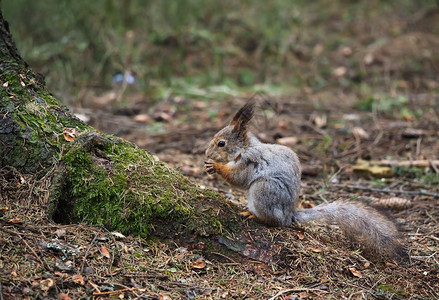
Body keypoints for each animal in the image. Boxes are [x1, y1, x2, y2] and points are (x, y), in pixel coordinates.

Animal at [205, 101, 408, 260]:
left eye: (221, 143)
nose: (206, 153)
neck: (244, 148)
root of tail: (289, 215)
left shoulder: (249, 161)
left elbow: (238, 178)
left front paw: (216, 166)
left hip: (264, 189)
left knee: (273, 221)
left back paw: (254, 215)